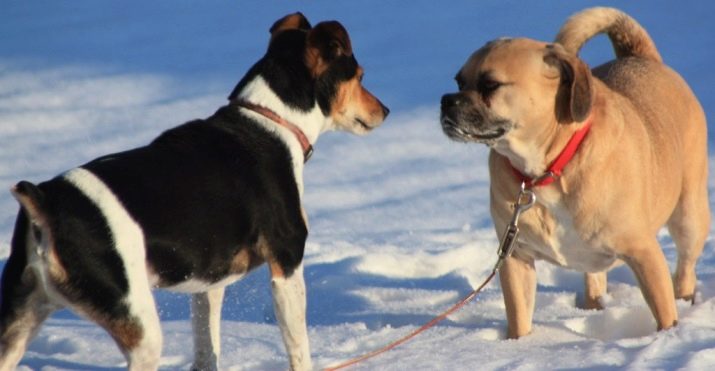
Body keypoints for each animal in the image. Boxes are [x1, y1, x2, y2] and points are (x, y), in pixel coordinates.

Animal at [0, 13, 388, 370]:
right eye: (359, 75)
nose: (384, 110)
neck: (271, 120)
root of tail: (45, 202)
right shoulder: (286, 264)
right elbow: (298, 348)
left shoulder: (208, 284)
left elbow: (207, 347)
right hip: (139, 327)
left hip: (20, 320)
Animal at [442, 7, 712, 340]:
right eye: (458, 81)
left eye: (490, 84)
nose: (445, 100)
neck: (546, 172)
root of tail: (641, 56)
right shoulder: (516, 258)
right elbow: (519, 317)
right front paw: (518, 345)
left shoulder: (643, 252)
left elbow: (663, 311)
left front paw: (666, 336)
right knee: (595, 277)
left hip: (689, 215)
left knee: (685, 267)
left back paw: (684, 301)